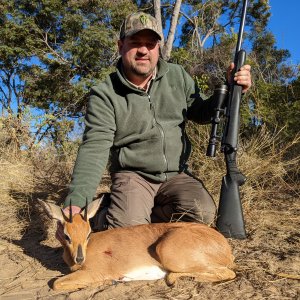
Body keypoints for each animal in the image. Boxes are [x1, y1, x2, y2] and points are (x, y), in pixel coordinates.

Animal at [39, 197, 237, 290]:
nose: (80, 259)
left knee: (229, 273)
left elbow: (55, 283)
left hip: (167, 251)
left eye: (88, 234)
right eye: (66, 235)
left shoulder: (94, 272)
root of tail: (225, 248)